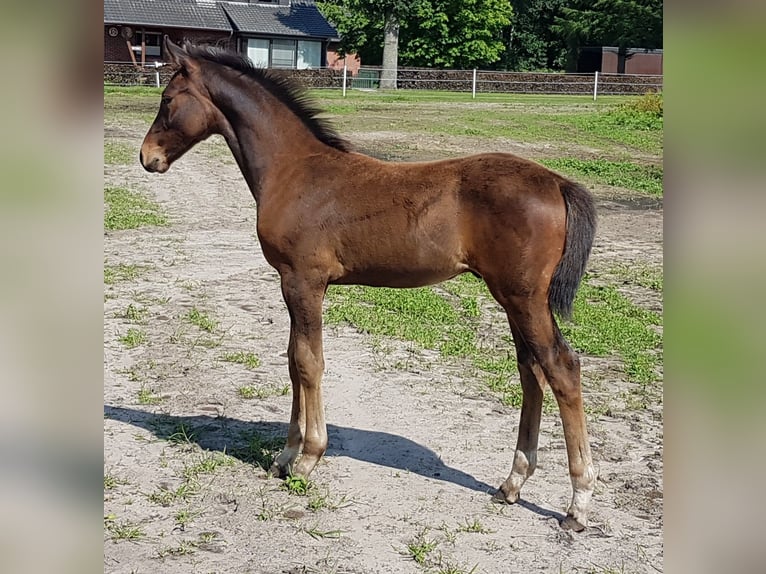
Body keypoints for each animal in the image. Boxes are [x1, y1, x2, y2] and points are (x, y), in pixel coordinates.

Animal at [142, 37, 600, 532]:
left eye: (168, 100)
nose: (147, 157)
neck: (294, 171)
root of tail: (557, 182)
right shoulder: (293, 283)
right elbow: (292, 361)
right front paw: (284, 457)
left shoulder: (303, 281)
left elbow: (308, 362)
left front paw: (307, 459)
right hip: (513, 298)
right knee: (531, 372)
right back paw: (511, 484)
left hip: (524, 298)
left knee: (561, 368)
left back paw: (577, 503)